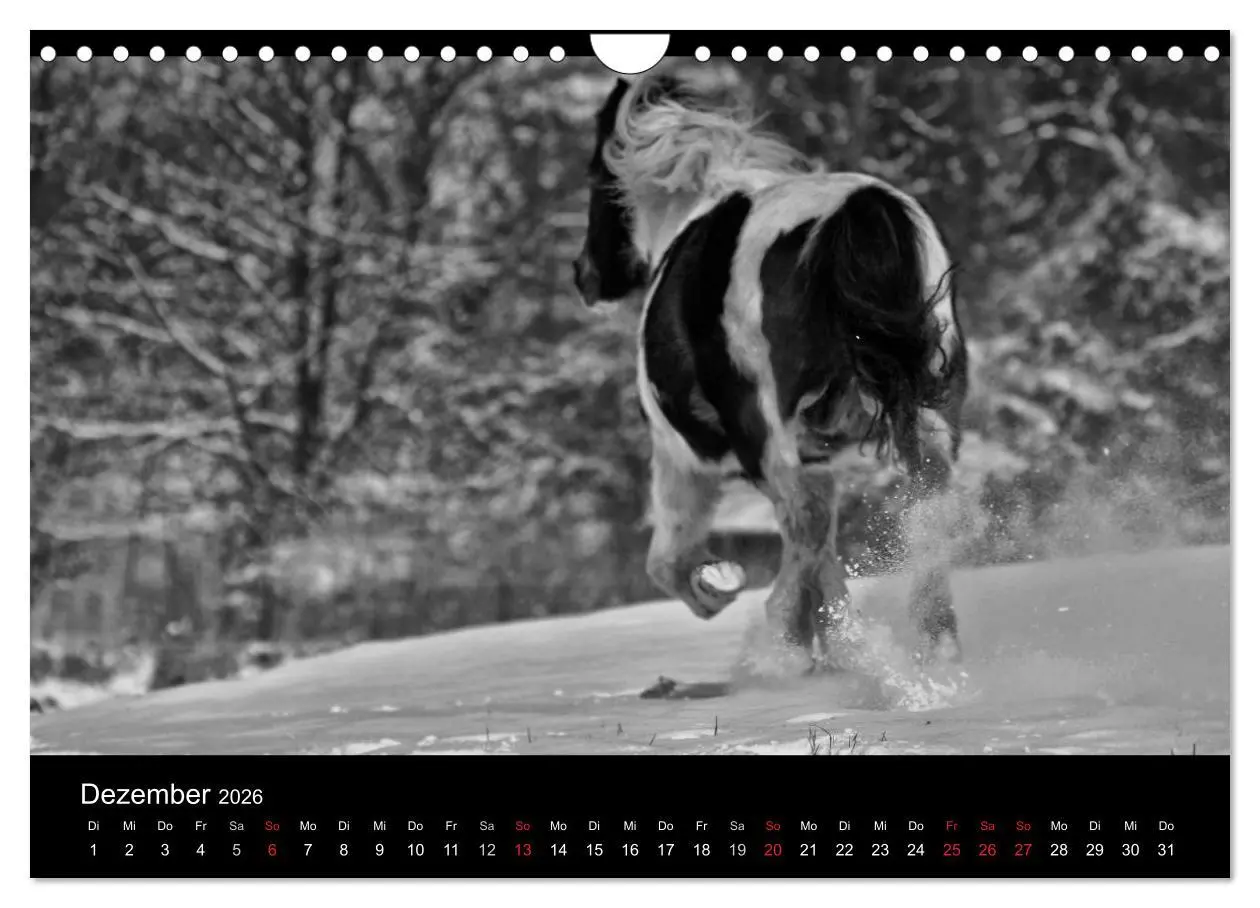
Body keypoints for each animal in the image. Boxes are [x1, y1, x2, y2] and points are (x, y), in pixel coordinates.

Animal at [571, 73, 969, 671]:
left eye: (596, 178)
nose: (584, 276)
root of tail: (862, 212)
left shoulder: (680, 456)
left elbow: (669, 561)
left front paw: (719, 587)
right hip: (921, 421)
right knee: (925, 505)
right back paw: (933, 645)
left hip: (773, 437)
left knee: (805, 528)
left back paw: (780, 649)